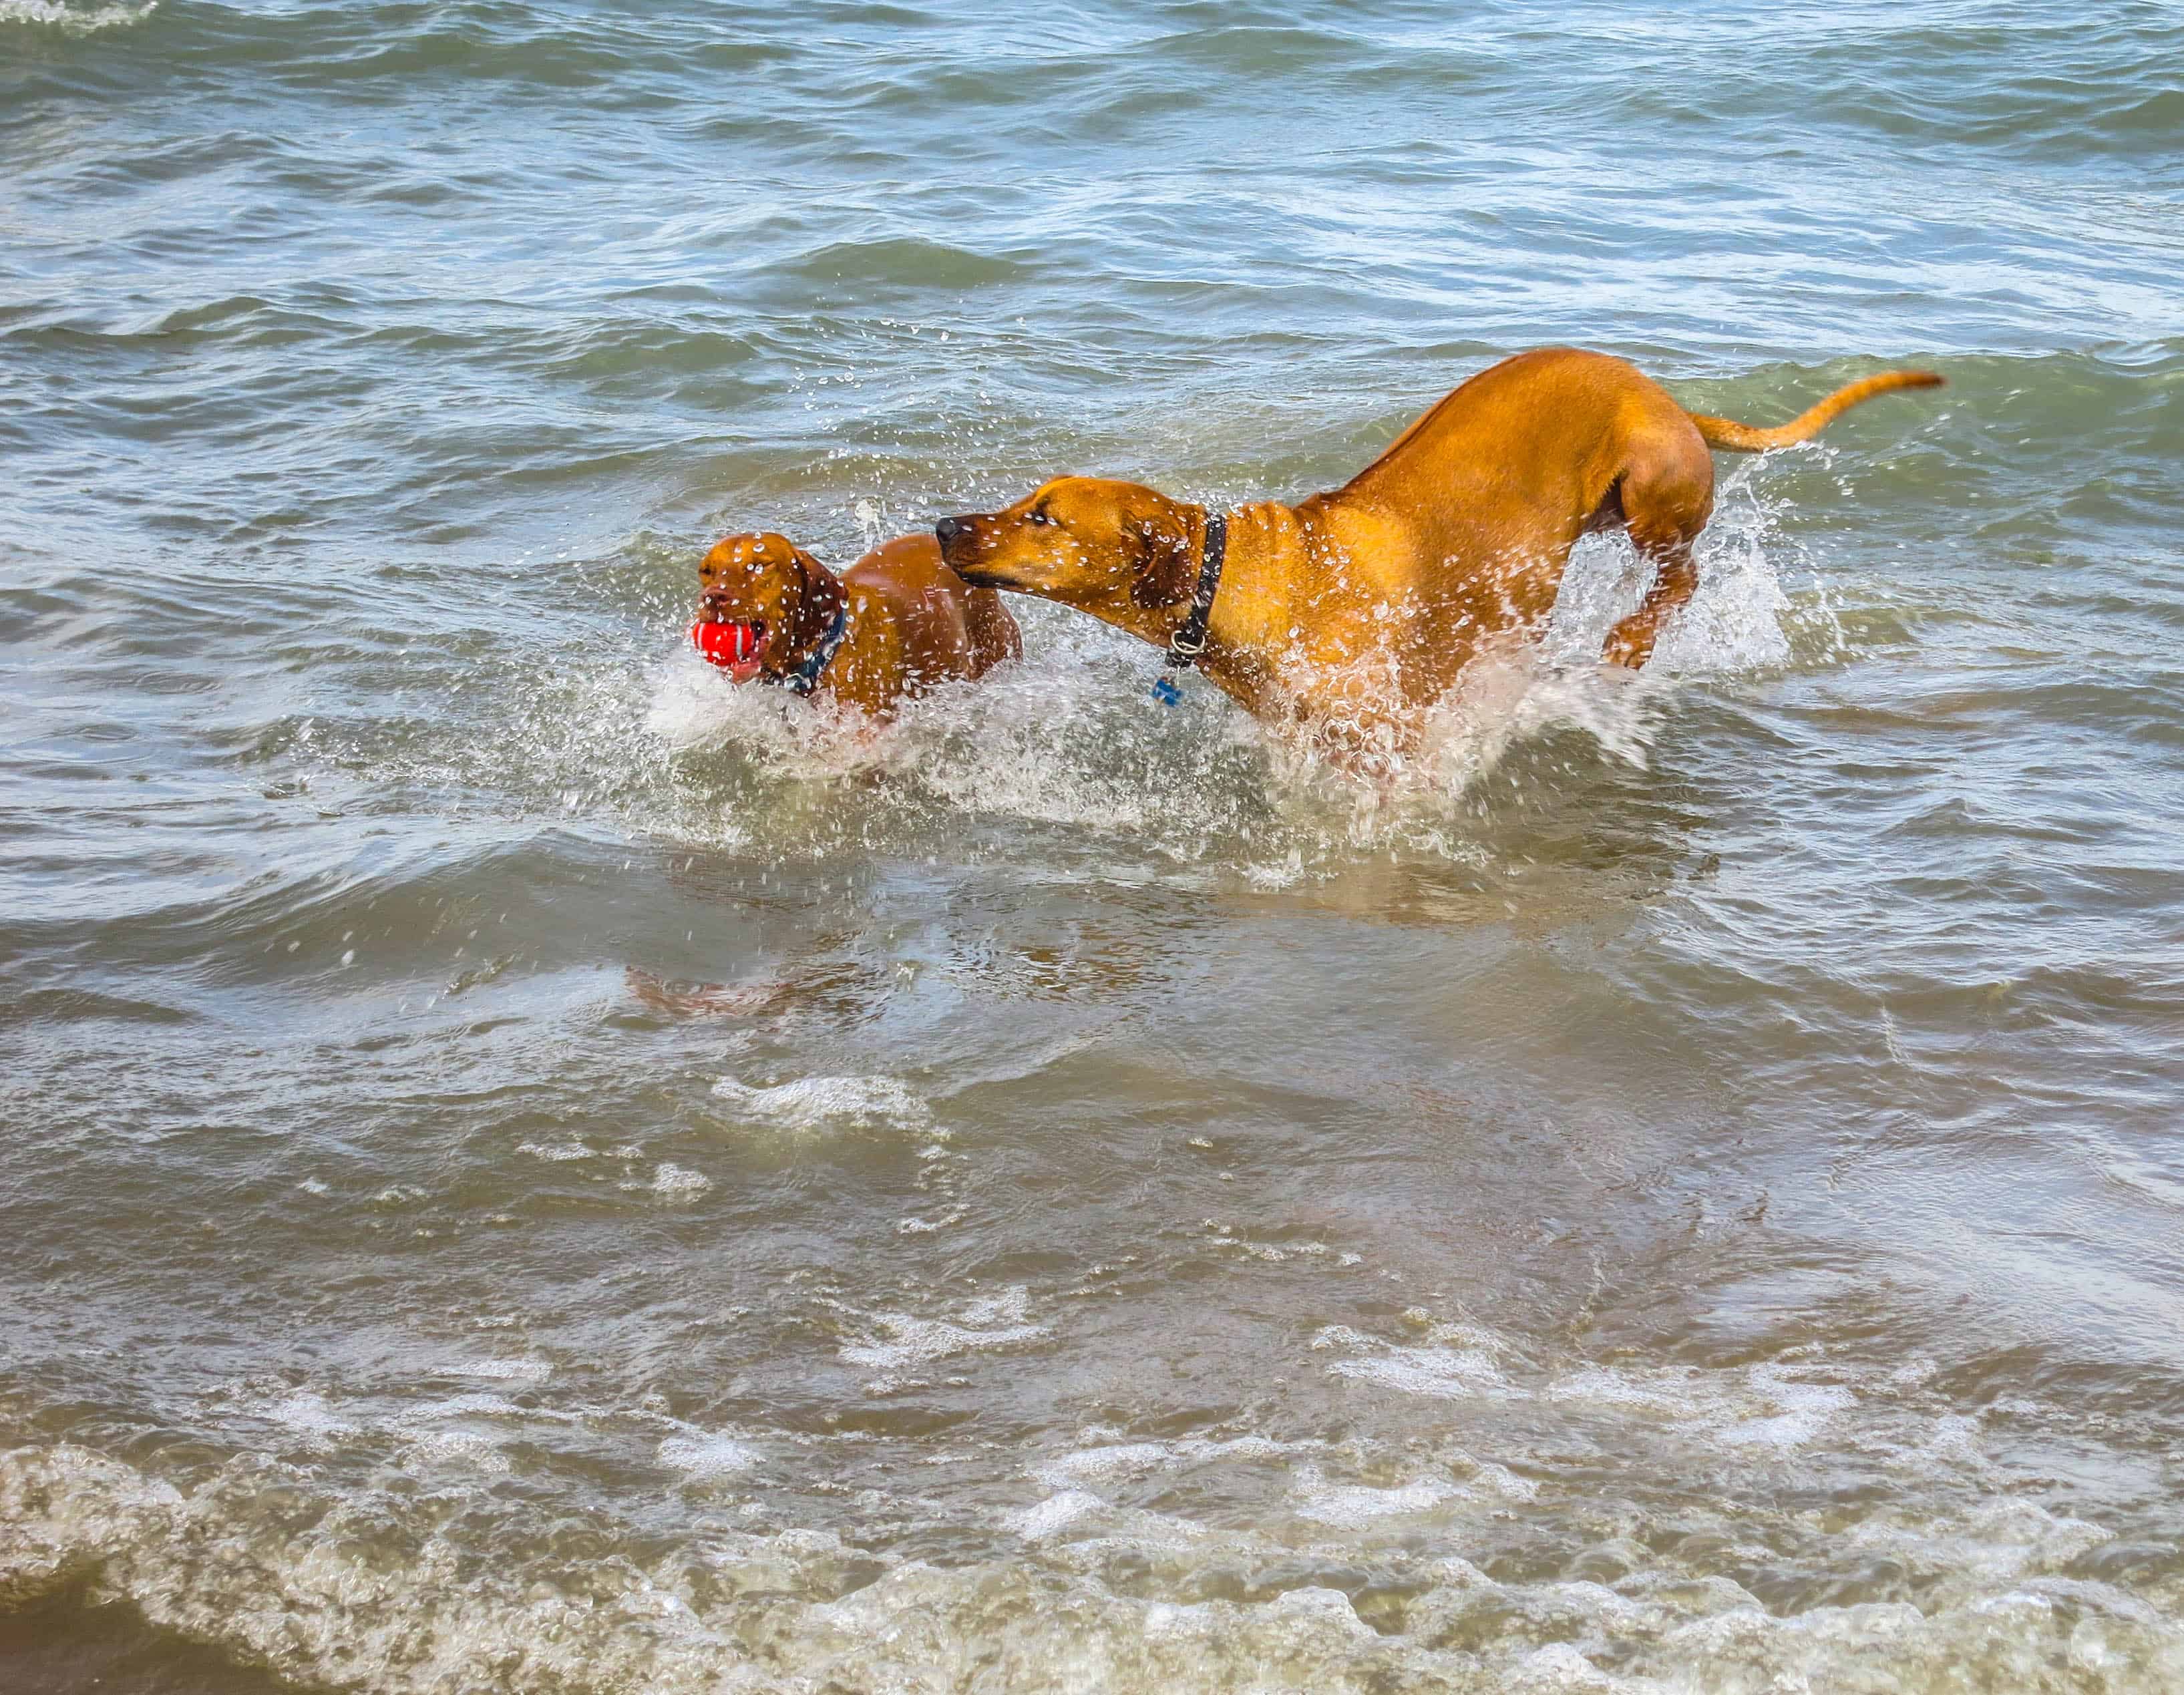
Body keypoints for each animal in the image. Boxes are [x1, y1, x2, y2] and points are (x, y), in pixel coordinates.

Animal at [939, 345, 1948, 743]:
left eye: (1043, 517)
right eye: (1024, 500)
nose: (944, 526)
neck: (1235, 575)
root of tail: (1665, 395)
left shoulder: (1390, 729)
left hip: (1649, 493)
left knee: (1682, 575)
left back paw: (1631, 637)